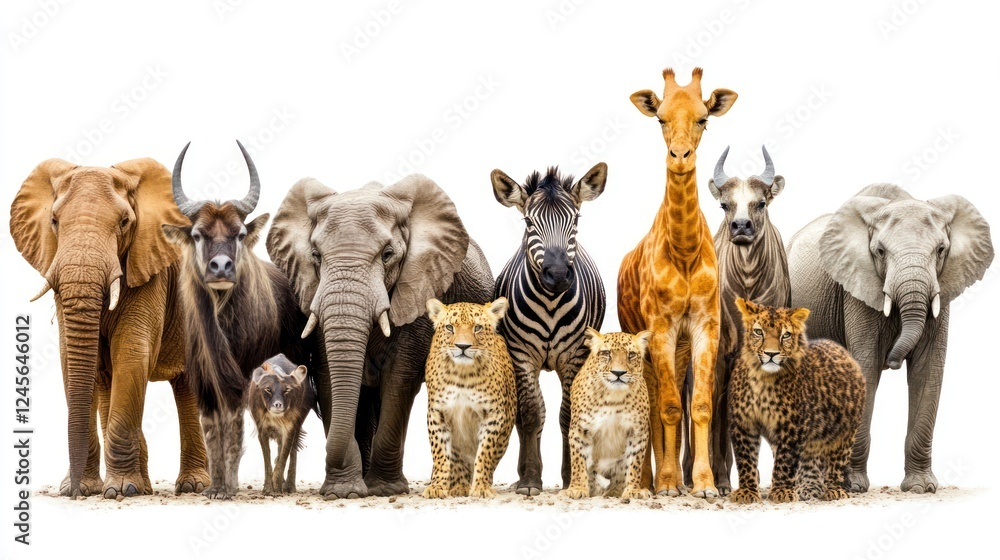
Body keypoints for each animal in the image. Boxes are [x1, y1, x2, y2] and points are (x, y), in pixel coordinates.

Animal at [9, 158, 211, 498]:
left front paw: (122, 490)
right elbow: (72, 360)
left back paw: (192, 486)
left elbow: (130, 352)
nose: (72, 493)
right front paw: (86, 489)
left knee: (187, 386)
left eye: (125, 222)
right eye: (54, 221)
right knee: (110, 381)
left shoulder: (148, 266)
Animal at [266, 174, 494, 499]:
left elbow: (400, 377)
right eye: (316, 256)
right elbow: (328, 375)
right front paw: (344, 492)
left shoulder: (421, 286)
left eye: (387, 255)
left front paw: (384, 490)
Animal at [490, 163, 608, 496]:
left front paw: (571, 478)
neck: (551, 302)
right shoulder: (521, 355)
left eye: (576, 220)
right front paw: (531, 480)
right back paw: (522, 475)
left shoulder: (574, 357)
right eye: (529, 222)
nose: (557, 275)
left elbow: (567, 415)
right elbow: (531, 414)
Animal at [787, 183, 993, 493]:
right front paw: (853, 486)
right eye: (880, 251)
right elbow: (867, 366)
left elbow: (926, 370)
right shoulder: (856, 292)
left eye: (941, 250)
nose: (894, 361)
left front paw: (921, 488)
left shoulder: (942, 287)